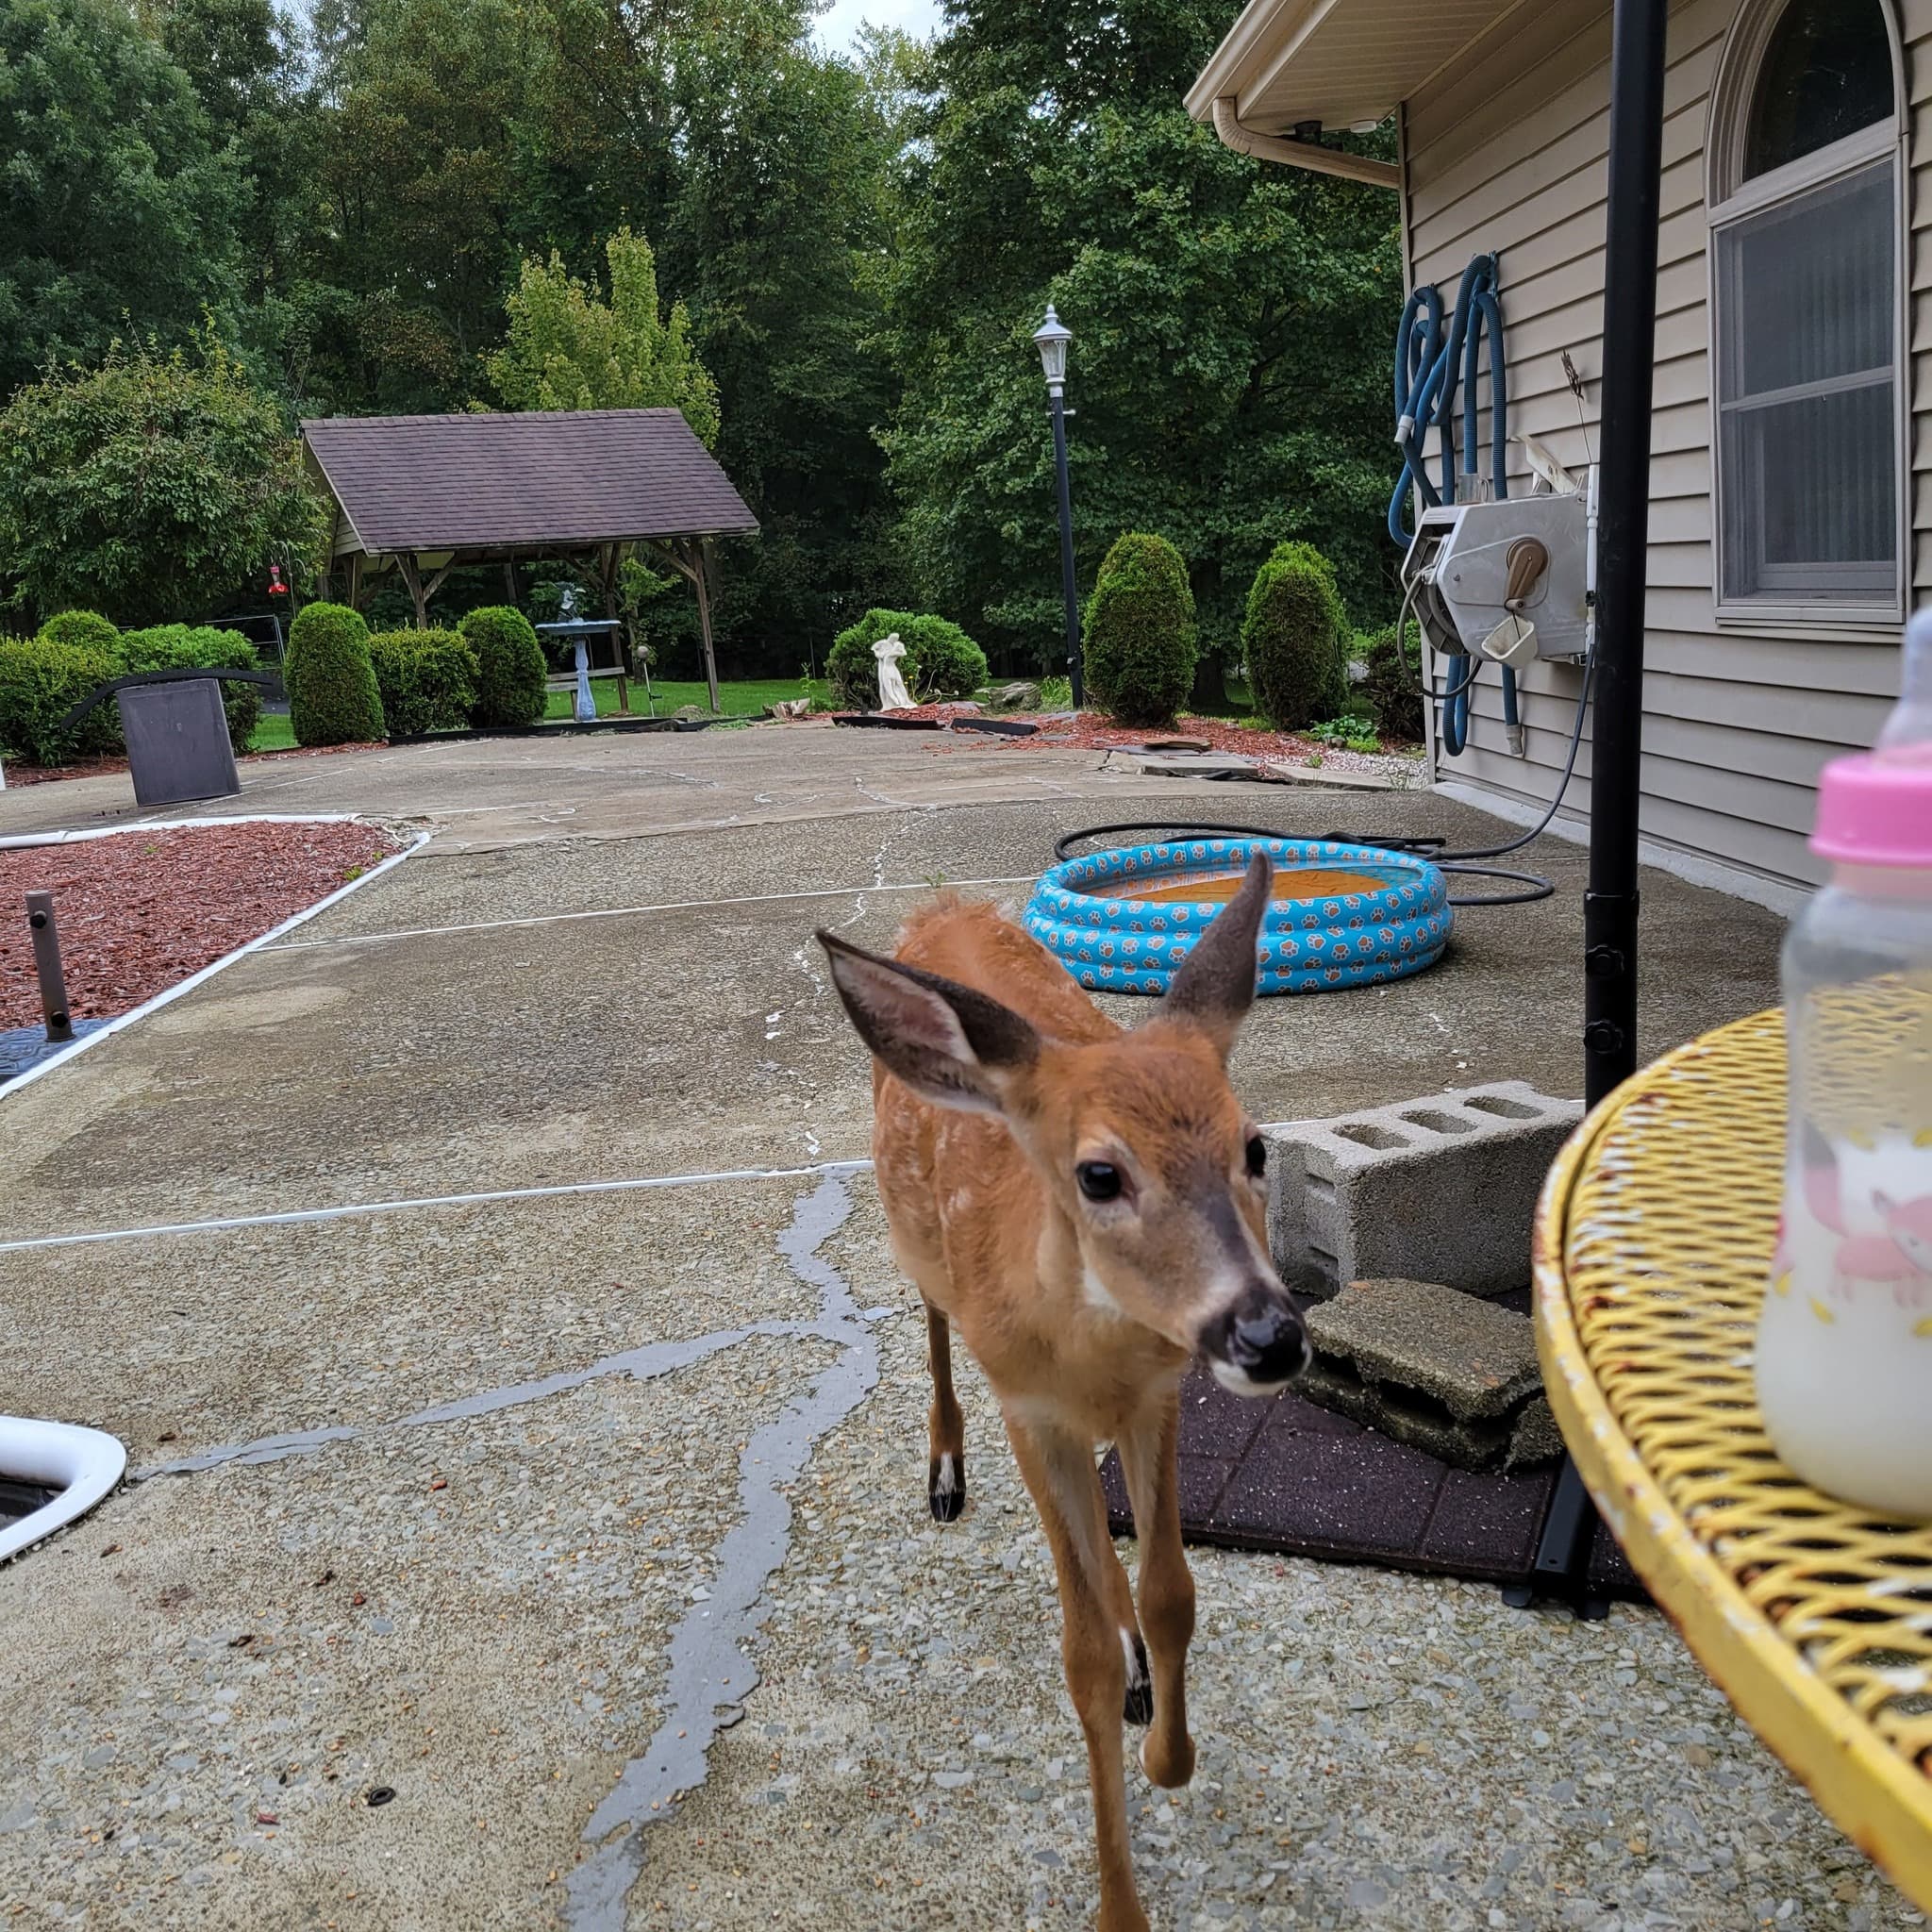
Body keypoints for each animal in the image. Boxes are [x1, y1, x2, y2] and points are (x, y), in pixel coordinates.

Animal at [817, 853, 1307, 1932]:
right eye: (1098, 1175)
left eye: (1254, 1147)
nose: (1267, 1334)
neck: (1088, 1350)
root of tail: (945, 907)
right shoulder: (1029, 1409)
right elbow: (1078, 1656)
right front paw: (1119, 1907)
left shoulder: (1160, 1394)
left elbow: (1172, 1594)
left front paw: (1168, 1755)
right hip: (918, 1249)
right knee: (932, 1325)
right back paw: (944, 1471)